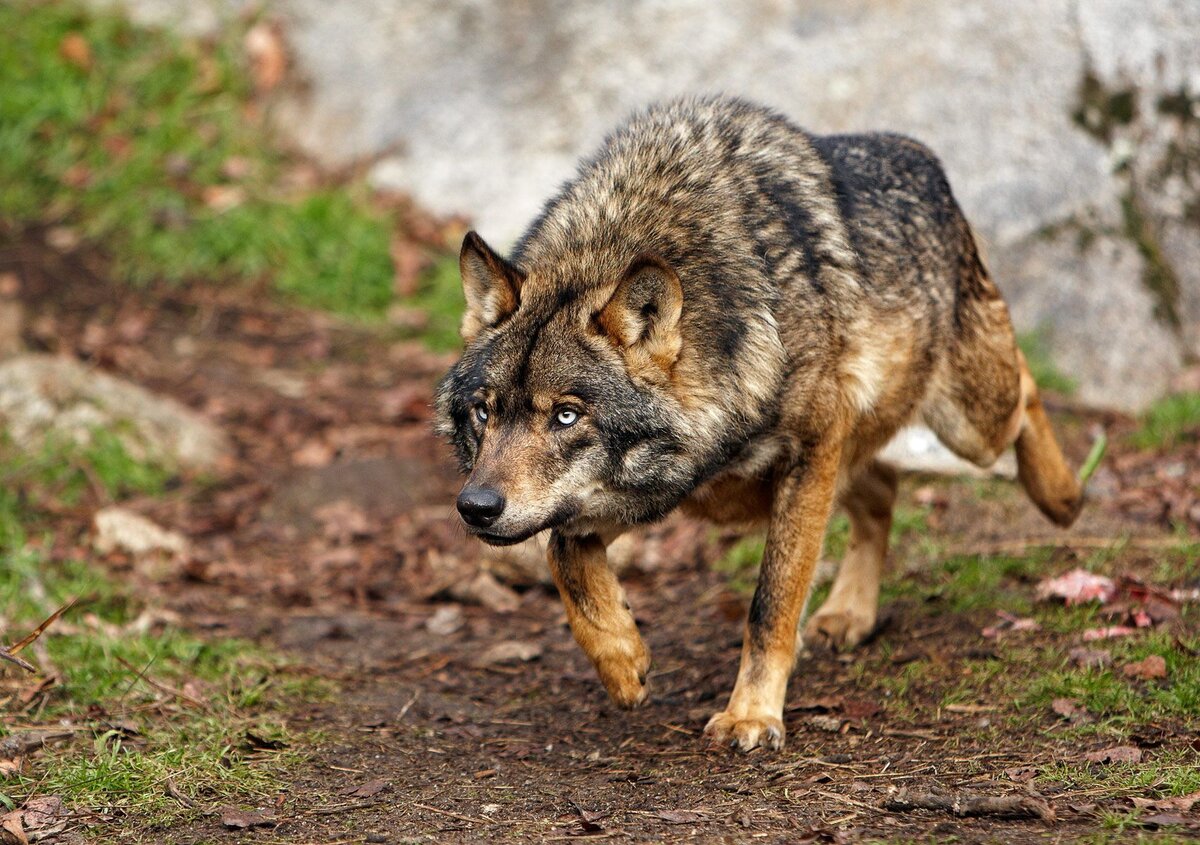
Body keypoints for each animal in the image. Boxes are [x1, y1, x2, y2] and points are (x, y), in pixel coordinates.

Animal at [434, 96, 1089, 748]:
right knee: (881, 487)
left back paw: (1063, 498)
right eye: (484, 412)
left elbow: (770, 602)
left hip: (968, 424)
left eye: (567, 415)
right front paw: (622, 661)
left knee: (1027, 389)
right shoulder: (660, 488)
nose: (475, 507)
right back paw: (849, 614)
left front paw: (752, 714)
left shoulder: (809, 452)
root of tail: (920, 154)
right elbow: (565, 555)